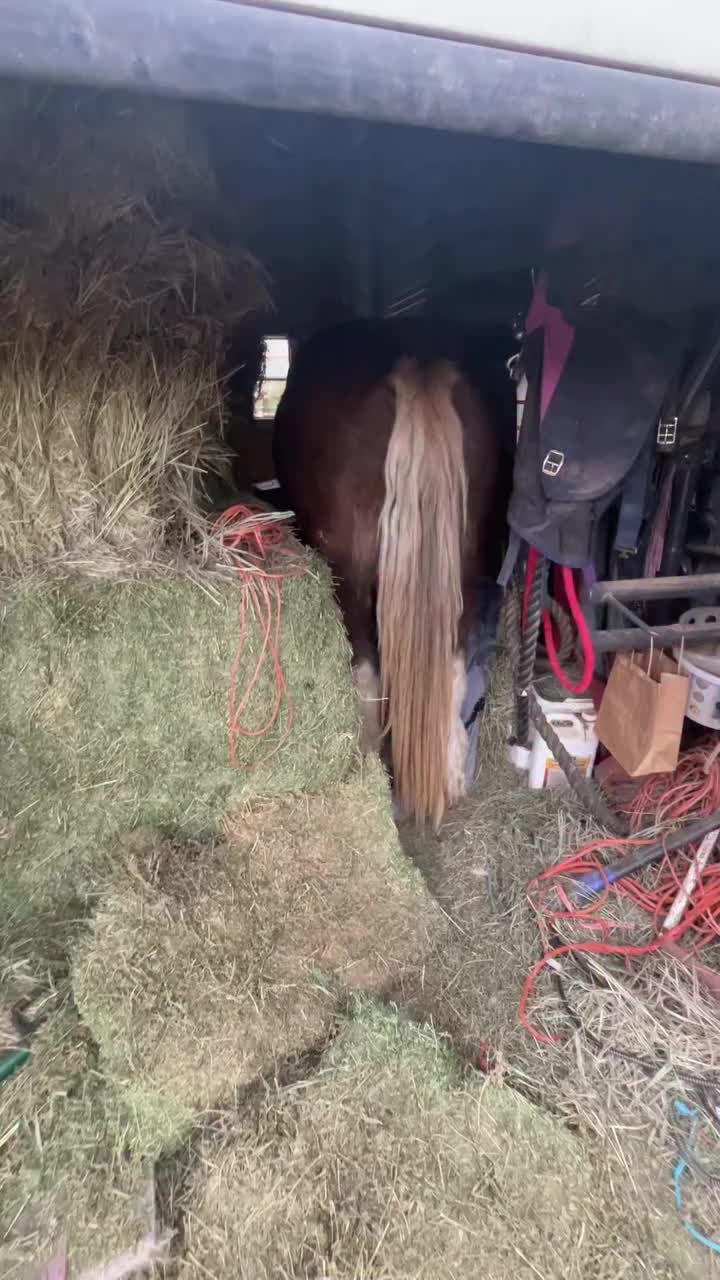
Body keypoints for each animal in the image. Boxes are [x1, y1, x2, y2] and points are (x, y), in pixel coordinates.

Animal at [273, 317, 513, 827]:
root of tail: (413, 365)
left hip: (350, 574)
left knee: (365, 665)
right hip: (463, 567)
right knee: (453, 663)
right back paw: (449, 774)